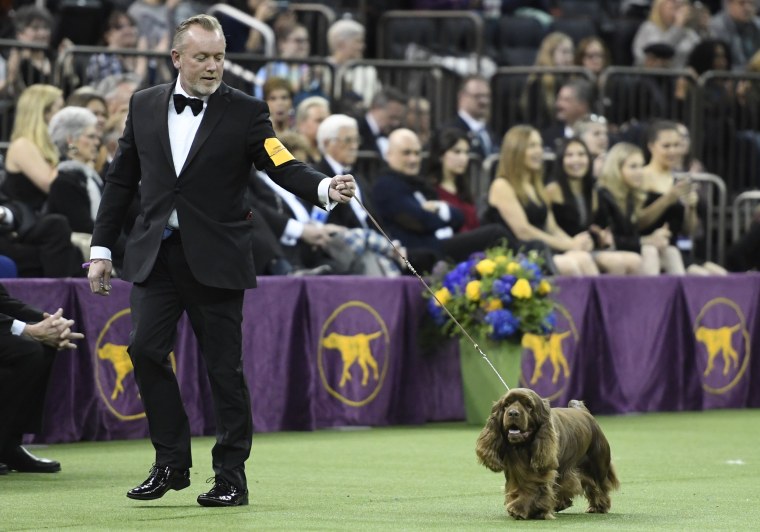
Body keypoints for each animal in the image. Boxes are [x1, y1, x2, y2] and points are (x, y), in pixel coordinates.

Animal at [478, 386, 620, 520]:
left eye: (529, 405)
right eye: (506, 404)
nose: (513, 413)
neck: (523, 447)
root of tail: (585, 413)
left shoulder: (543, 470)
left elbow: (534, 488)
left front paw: (519, 509)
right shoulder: (514, 473)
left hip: (597, 465)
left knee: (599, 486)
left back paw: (598, 506)